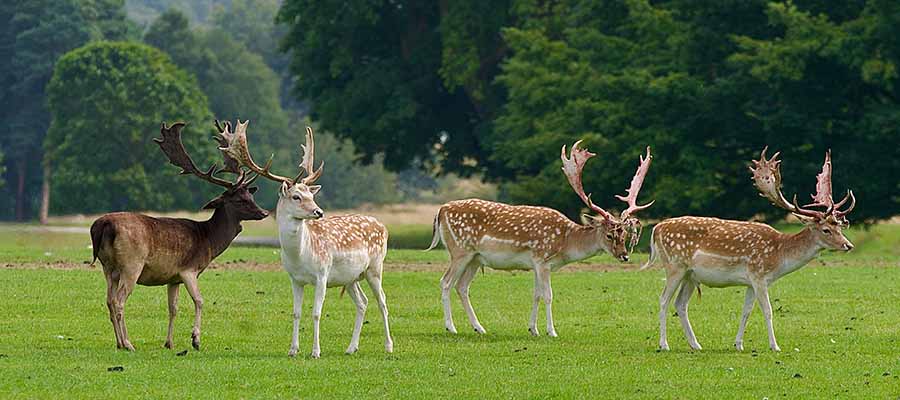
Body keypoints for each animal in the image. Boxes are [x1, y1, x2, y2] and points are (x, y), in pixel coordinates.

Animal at [90, 121, 269, 351]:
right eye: (239, 200)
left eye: (250, 196)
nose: (264, 213)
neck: (208, 239)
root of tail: (102, 225)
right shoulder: (188, 269)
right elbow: (199, 300)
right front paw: (195, 339)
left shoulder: (172, 277)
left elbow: (173, 307)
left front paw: (169, 342)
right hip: (131, 264)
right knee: (120, 300)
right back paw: (128, 343)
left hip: (108, 266)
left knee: (109, 300)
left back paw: (120, 343)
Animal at [218, 120, 393, 358]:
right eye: (296, 196)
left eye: (312, 195)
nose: (319, 212)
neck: (300, 255)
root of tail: (383, 226)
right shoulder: (294, 279)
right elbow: (296, 312)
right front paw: (293, 349)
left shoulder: (322, 274)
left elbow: (316, 313)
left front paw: (315, 351)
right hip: (350, 277)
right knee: (362, 302)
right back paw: (351, 348)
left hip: (375, 267)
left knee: (382, 301)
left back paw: (388, 346)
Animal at [426, 141, 653, 337]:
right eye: (609, 235)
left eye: (625, 234)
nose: (625, 256)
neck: (565, 242)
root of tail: (441, 210)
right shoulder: (542, 259)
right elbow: (548, 295)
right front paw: (552, 331)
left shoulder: (536, 264)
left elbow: (536, 294)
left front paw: (533, 329)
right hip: (460, 250)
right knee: (445, 282)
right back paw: (451, 327)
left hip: (475, 258)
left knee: (462, 286)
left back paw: (479, 328)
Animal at [644, 148, 856, 352]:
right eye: (826, 230)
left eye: (840, 227)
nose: (848, 245)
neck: (779, 255)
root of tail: (656, 229)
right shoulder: (759, 275)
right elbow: (768, 310)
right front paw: (775, 346)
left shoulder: (750, 282)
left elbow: (746, 311)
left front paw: (738, 344)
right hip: (674, 266)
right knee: (663, 300)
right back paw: (664, 344)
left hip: (691, 275)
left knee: (680, 304)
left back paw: (695, 344)